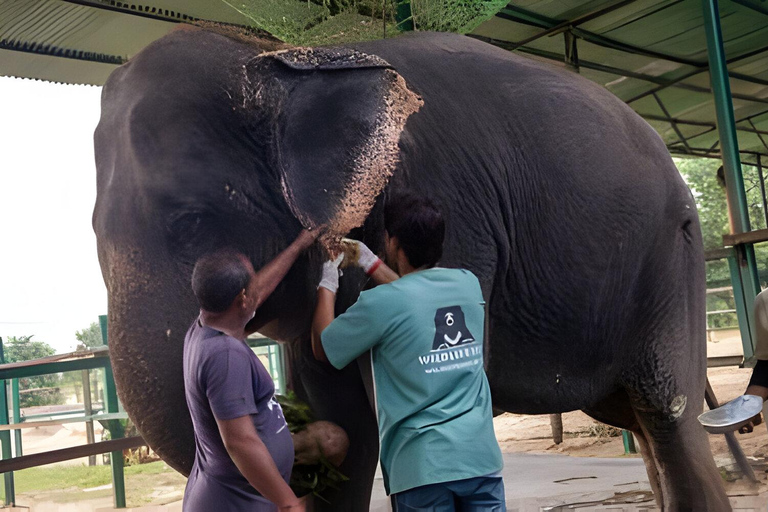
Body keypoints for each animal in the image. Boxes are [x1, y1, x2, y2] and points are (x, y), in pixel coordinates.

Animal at [93, 26, 728, 510]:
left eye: (190, 222)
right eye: (95, 234)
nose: (293, 435)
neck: (288, 58)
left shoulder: (451, 205)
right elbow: (345, 416)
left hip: (672, 256)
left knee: (666, 412)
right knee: (634, 416)